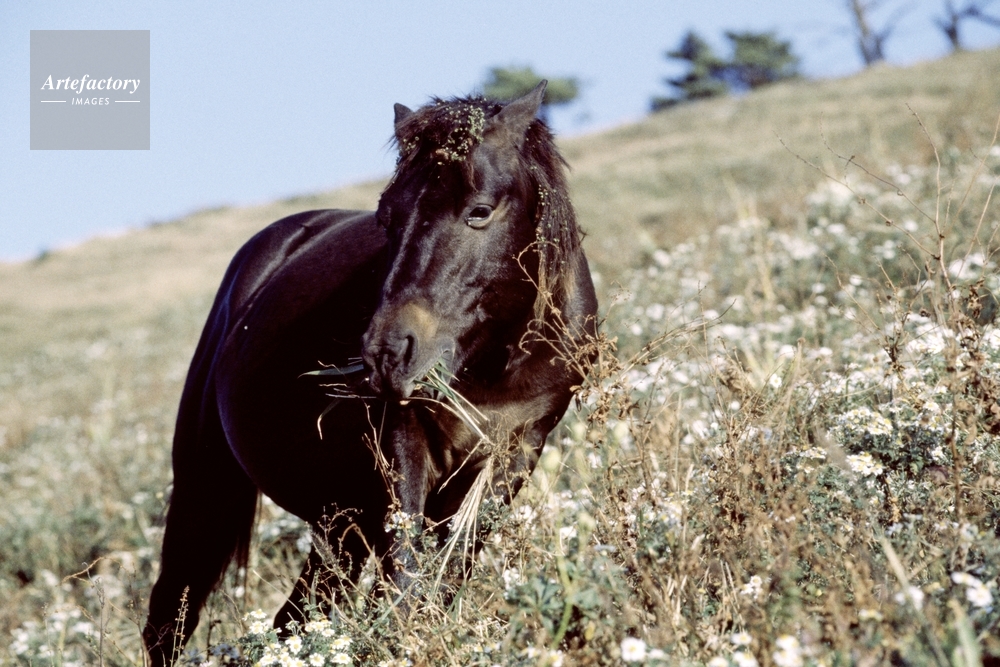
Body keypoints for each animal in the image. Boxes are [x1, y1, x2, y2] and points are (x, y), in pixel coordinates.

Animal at [142, 82, 598, 665]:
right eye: (387, 217)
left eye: (479, 210)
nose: (387, 353)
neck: (497, 358)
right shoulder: (403, 442)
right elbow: (403, 586)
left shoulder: (517, 451)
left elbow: (444, 579)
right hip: (209, 487)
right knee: (169, 621)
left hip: (339, 523)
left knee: (294, 618)